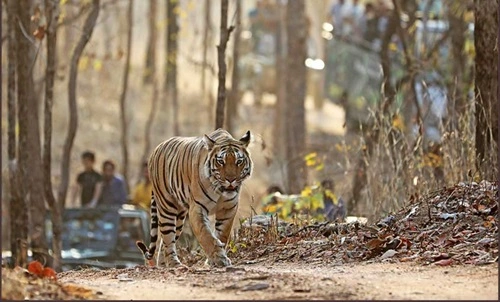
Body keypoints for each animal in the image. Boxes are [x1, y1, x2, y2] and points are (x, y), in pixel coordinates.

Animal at [136, 129, 252, 268]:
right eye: (221, 162)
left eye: (239, 161)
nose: (231, 180)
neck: (220, 190)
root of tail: (156, 149)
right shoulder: (197, 207)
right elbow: (205, 234)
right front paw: (219, 258)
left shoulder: (228, 209)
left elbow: (222, 234)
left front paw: (215, 259)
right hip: (167, 207)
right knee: (168, 237)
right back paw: (174, 263)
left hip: (180, 216)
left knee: (165, 241)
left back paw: (164, 264)